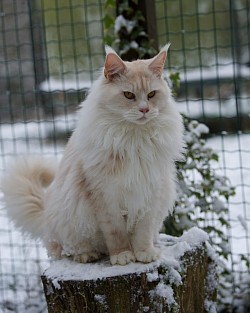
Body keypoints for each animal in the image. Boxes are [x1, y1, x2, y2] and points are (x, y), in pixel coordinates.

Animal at [0, 43, 184, 264]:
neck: (134, 140)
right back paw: (87, 255)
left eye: (151, 95)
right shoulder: (105, 196)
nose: (144, 110)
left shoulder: (150, 192)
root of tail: (44, 213)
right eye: (128, 95)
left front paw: (144, 253)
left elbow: (143, 231)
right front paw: (122, 256)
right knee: (67, 249)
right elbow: (116, 233)